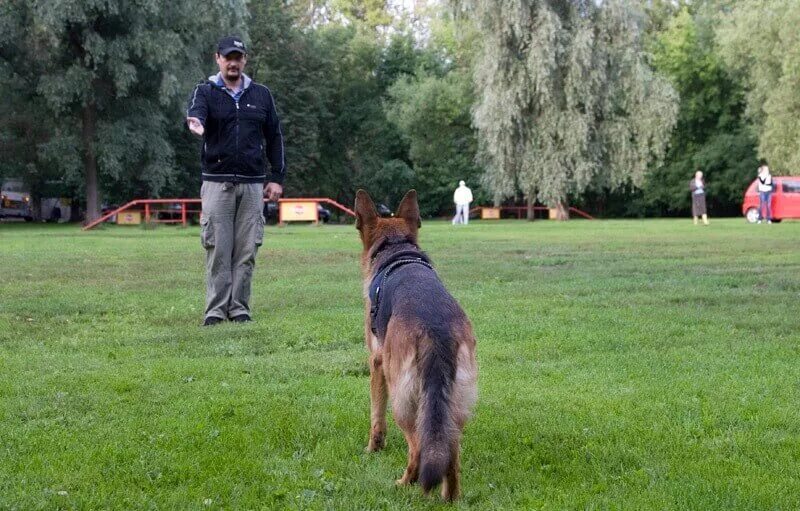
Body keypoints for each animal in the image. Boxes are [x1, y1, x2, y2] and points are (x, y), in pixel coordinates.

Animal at [354, 190, 476, 502]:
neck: (398, 251)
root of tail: (436, 331)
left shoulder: (377, 365)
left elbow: (376, 418)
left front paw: (372, 449)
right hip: (451, 408)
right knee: (449, 453)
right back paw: (449, 498)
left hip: (403, 400)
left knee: (419, 447)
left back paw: (404, 483)